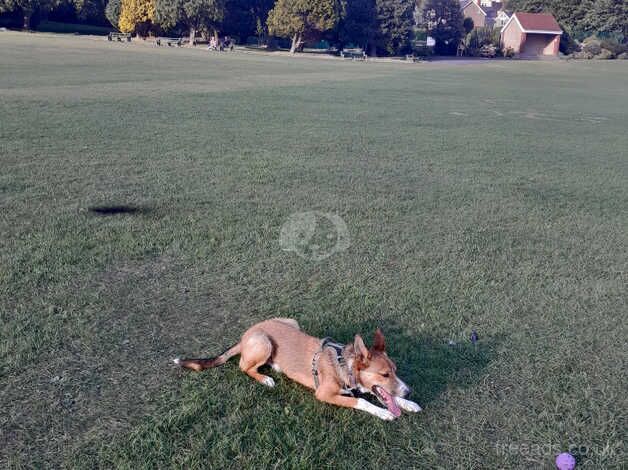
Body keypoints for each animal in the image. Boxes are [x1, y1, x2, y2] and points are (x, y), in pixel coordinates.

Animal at [173, 318, 422, 420]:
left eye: (395, 370)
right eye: (384, 374)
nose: (409, 391)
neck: (345, 365)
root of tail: (246, 334)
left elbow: (382, 395)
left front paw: (407, 403)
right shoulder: (324, 393)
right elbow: (362, 400)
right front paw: (384, 412)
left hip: (291, 322)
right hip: (264, 342)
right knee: (244, 366)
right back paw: (265, 378)